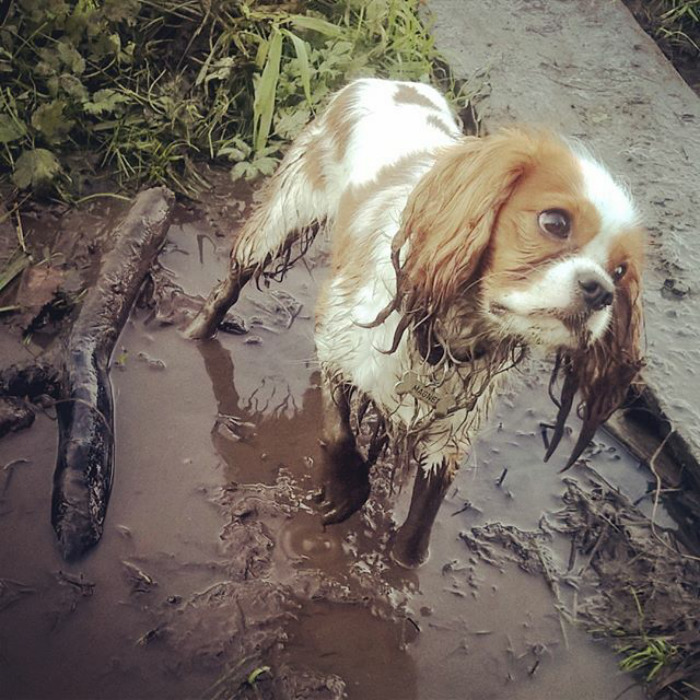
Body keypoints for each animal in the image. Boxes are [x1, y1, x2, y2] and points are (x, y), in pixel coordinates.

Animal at [187, 76, 644, 568]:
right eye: (555, 222)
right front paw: (344, 490)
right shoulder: (338, 337)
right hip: (282, 217)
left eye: (621, 271)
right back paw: (198, 332)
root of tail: (388, 80)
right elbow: (338, 430)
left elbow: (423, 514)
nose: (600, 290)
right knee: (234, 278)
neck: (452, 330)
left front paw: (405, 565)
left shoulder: (454, 428)